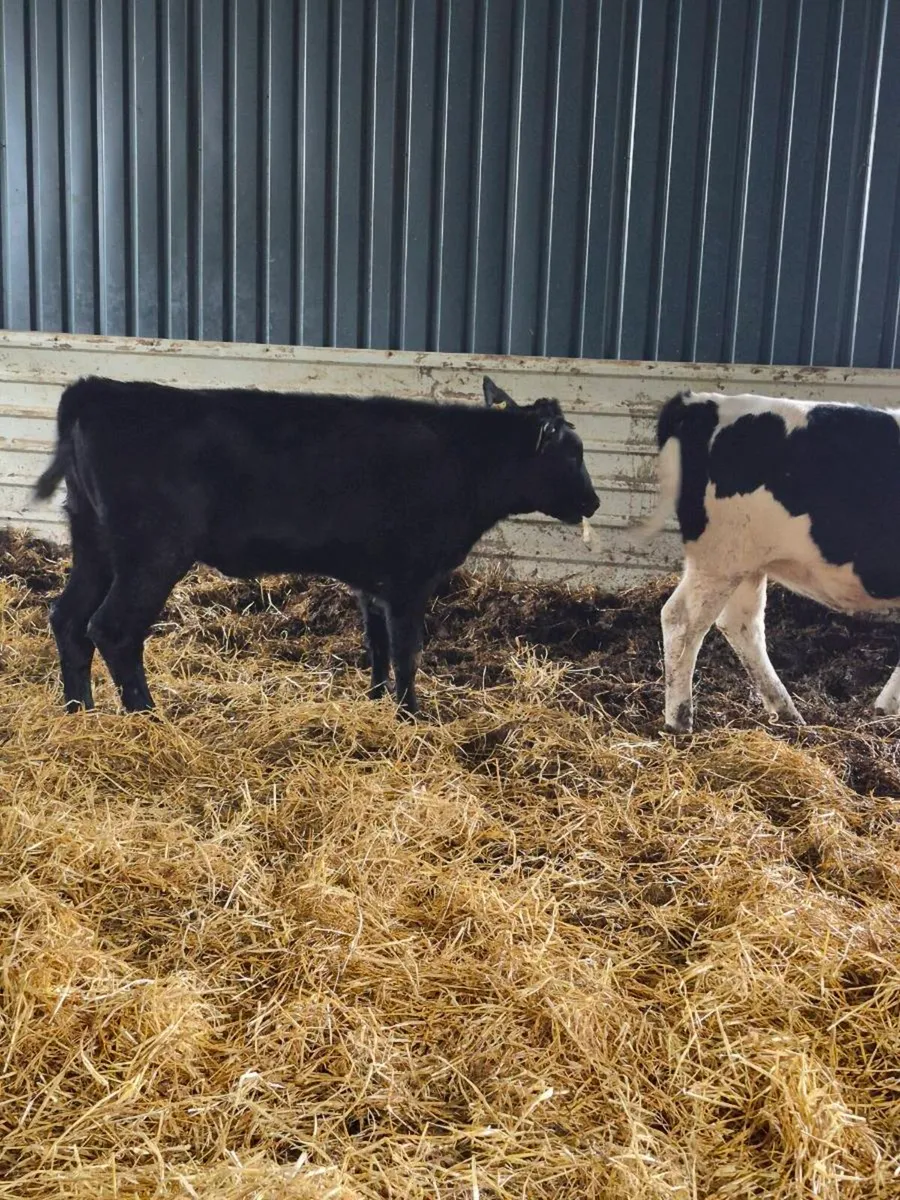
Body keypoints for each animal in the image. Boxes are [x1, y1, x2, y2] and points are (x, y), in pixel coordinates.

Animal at [33, 375, 599, 718]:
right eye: (573, 453)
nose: (593, 502)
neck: (462, 461)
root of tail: (96, 389)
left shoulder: (373, 581)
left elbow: (377, 646)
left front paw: (375, 702)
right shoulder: (411, 578)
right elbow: (407, 651)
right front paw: (410, 716)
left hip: (93, 543)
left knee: (68, 619)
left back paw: (79, 712)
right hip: (152, 552)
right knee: (112, 629)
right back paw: (147, 717)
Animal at [642, 388, 900, 733]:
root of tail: (702, 400)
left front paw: (886, 708)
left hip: (745, 563)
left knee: (741, 624)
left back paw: (787, 712)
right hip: (720, 558)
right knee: (682, 619)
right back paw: (679, 720)